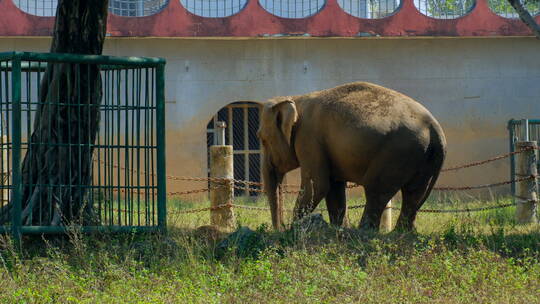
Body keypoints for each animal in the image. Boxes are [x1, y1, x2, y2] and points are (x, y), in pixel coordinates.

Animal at [258, 82, 448, 232]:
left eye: (262, 139)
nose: (279, 229)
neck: (296, 100)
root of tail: (435, 128)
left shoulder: (309, 138)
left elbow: (317, 185)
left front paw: (296, 229)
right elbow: (334, 187)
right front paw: (339, 228)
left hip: (398, 153)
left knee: (376, 190)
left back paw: (365, 231)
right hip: (423, 157)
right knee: (413, 193)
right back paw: (402, 233)